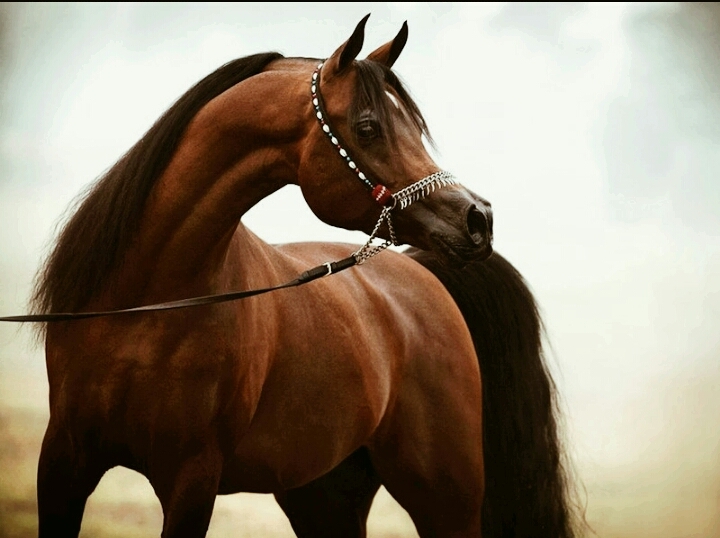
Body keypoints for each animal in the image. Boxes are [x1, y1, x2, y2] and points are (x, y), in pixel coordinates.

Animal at [26, 15, 578, 538]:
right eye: (368, 127)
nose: (477, 219)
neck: (148, 305)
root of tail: (425, 277)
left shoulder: (191, 480)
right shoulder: (62, 462)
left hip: (446, 501)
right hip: (323, 495)